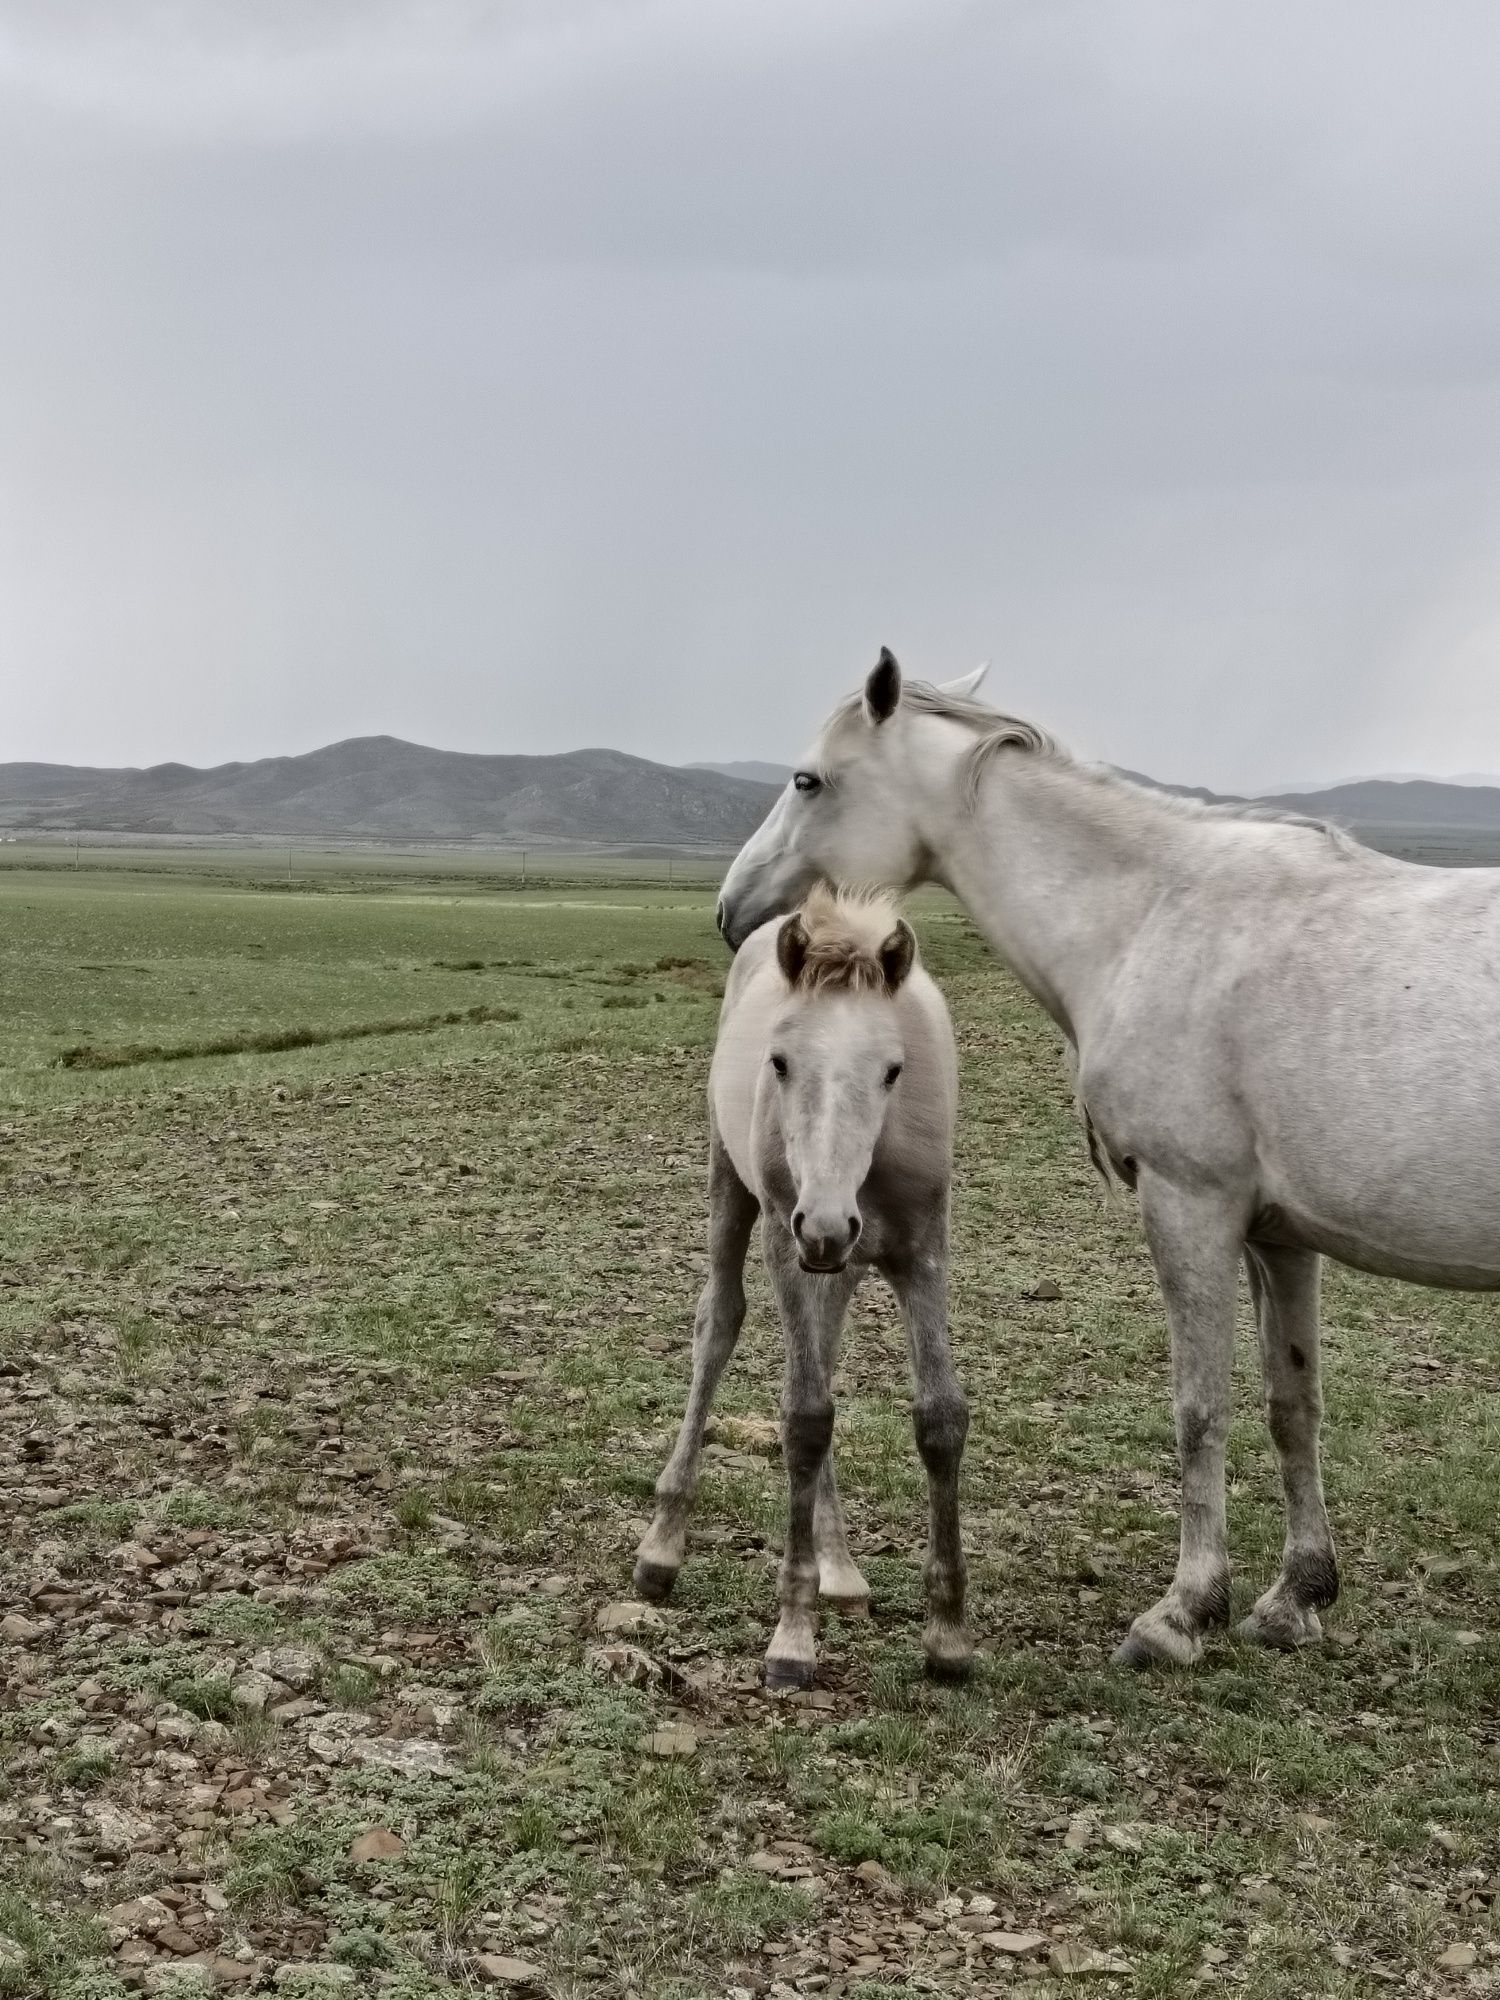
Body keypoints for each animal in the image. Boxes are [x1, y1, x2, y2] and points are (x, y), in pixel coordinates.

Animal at [636, 888, 976, 1688]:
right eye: (781, 1061)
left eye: (893, 1069)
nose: (823, 1223)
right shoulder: (788, 1247)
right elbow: (805, 1419)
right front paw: (792, 1636)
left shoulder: (922, 1253)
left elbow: (940, 1417)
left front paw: (948, 1634)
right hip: (738, 1194)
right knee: (720, 1326)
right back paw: (663, 1547)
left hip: (842, 1264)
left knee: (823, 1352)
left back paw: (842, 1571)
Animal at [712, 652, 1500, 1672]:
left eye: (808, 780)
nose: (733, 911)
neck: (1151, 916)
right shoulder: (1281, 1239)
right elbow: (1293, 1403)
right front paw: (1295, 1598)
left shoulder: (1190, 1205)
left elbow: (1200, 1407)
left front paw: (1182, 1612)